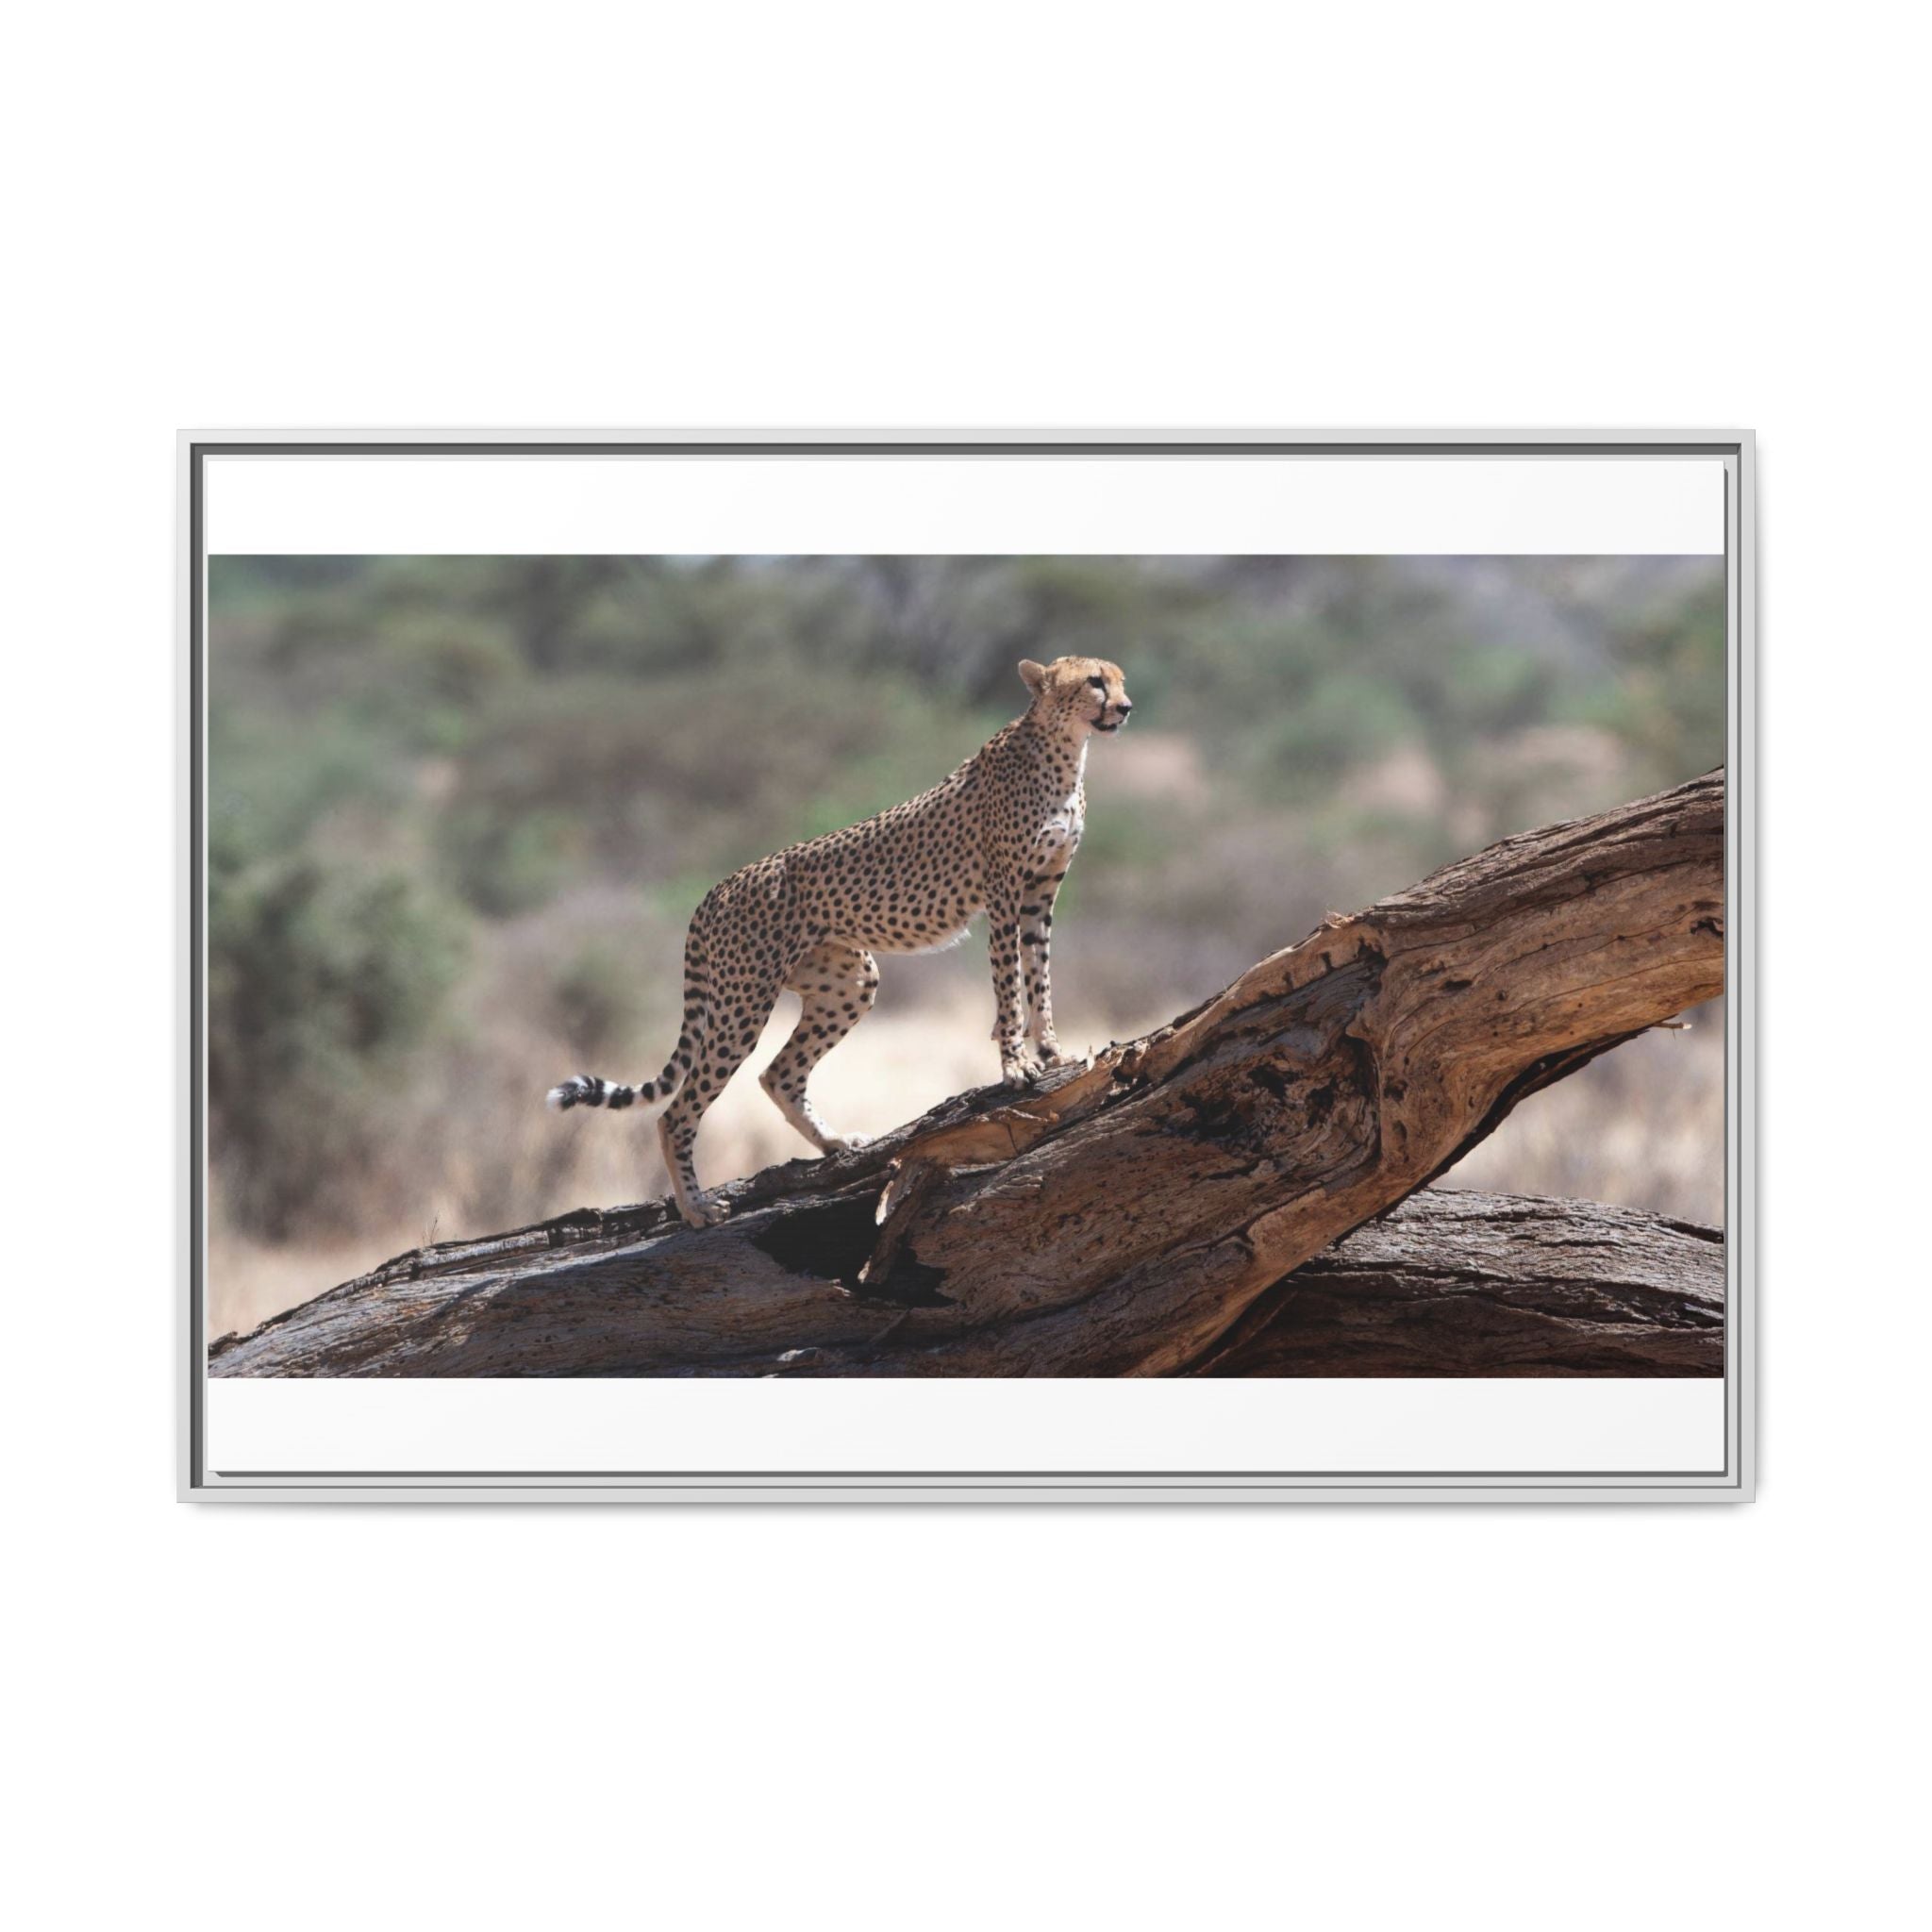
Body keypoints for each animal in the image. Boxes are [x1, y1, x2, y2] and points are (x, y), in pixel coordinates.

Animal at [546, 654, 1134, 1227]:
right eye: (1094, 682)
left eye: (1120, 679)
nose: (1126, 707)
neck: (1065, 749)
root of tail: (718, 887)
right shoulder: (1005, 894)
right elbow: (1009, 984)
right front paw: (1015, 1065)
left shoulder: (1040, 895)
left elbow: (1039, 976)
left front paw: (1052, 1050)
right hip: (743, 1001)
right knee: (677, 1110)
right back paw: (696, 1208)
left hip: (848, 980)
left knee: (778, 1074)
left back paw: (834, 1144)